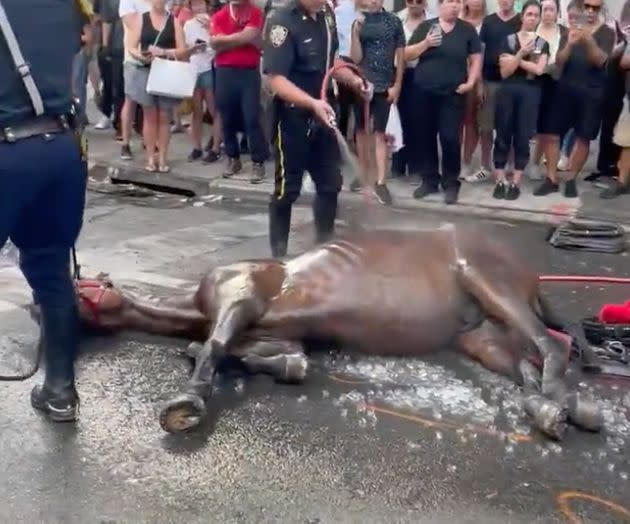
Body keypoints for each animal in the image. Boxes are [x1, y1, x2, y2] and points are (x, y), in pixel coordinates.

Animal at [65, 224, 608, 438]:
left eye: (81, 283)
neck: (192, 306)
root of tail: (530, 274)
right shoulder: (273, 335)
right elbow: (285, 359)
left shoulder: (239, 293)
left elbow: (215, 345)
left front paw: (187, 403)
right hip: (480, 335)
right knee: (524, 364)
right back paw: (553, 410)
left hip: (487, 279)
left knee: (548, 347)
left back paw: (565, 401)